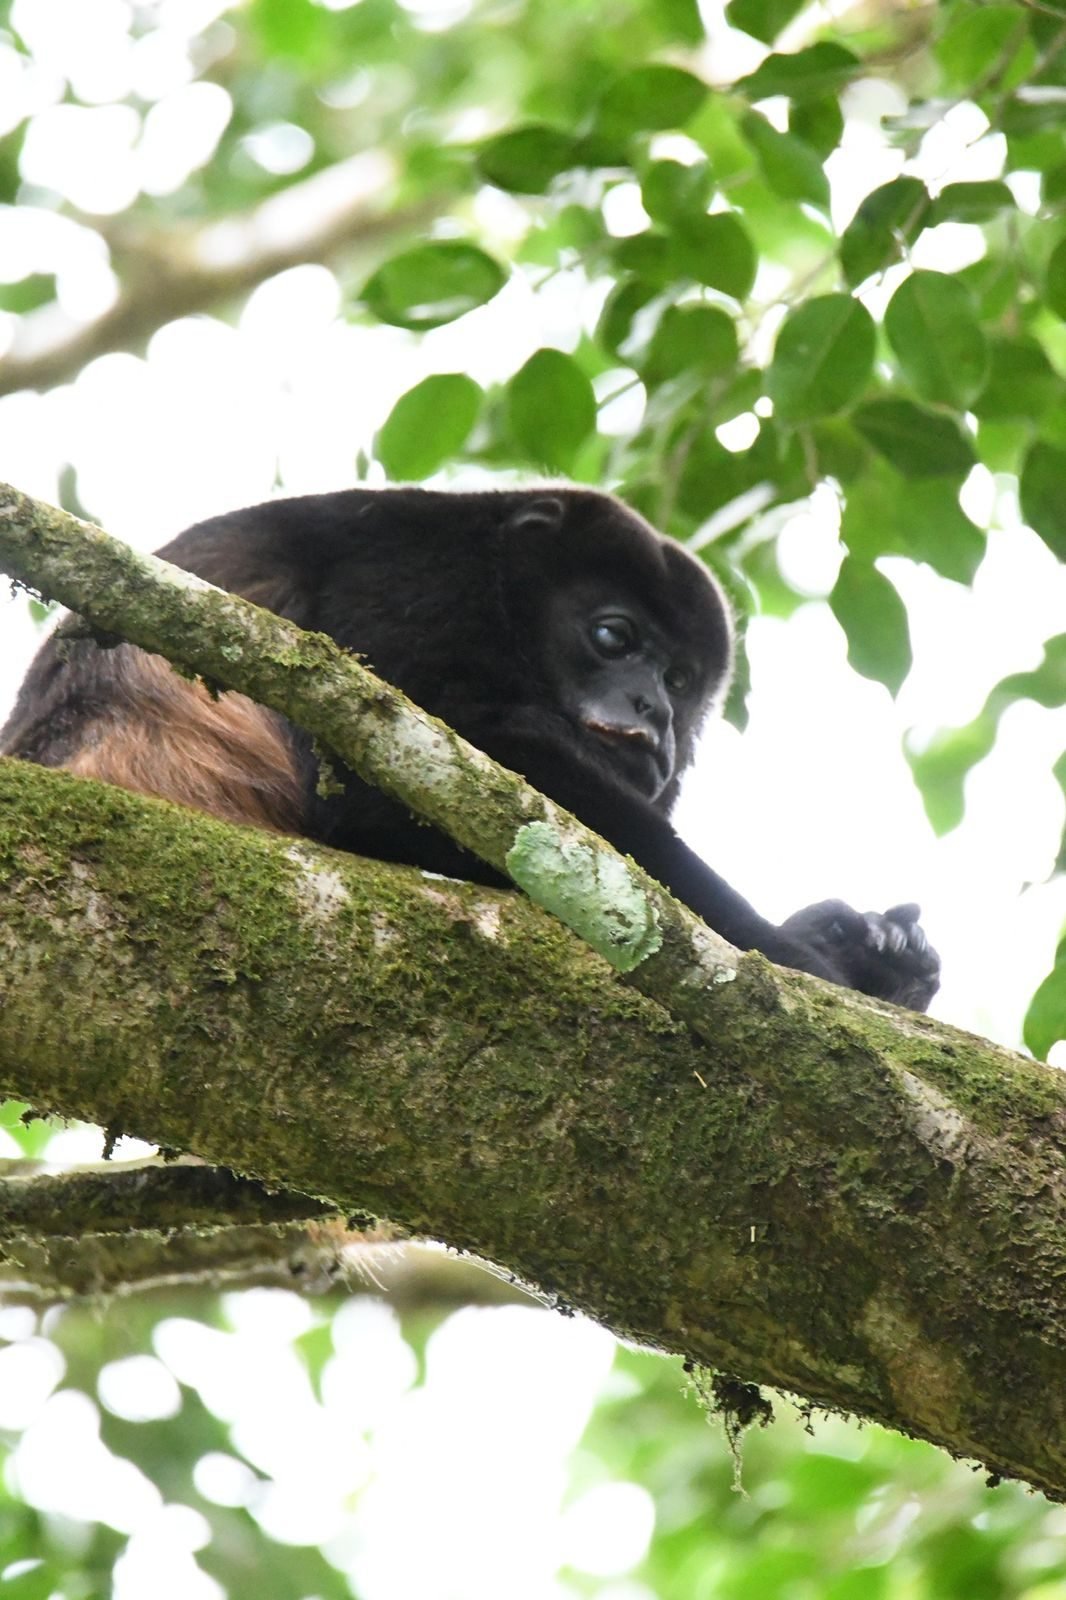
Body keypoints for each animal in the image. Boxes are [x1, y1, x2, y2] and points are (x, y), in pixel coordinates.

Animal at [1, 486, 939, 1009]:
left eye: (681, 679)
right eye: (613, 636)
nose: (657, 712)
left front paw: (863, 943)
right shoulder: (412, 580)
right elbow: (372, 789)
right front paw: (811, 953)